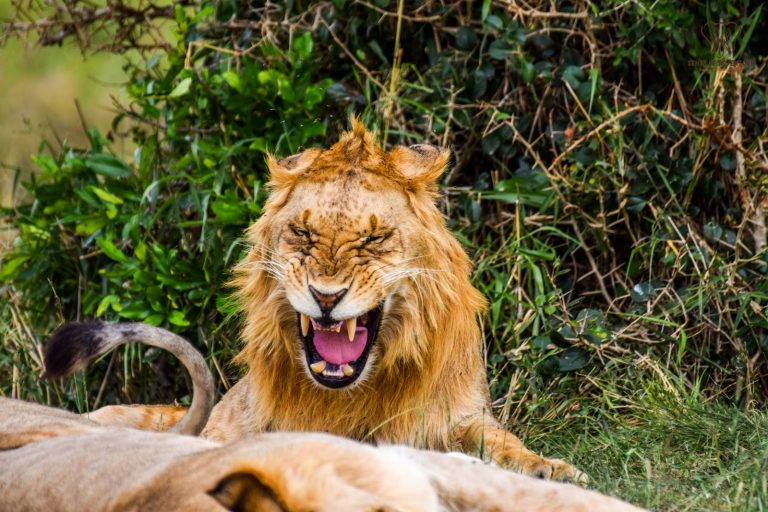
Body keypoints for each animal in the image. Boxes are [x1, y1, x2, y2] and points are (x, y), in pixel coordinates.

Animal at [49, 120, 582, 481]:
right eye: (303, 235)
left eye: (373, 240)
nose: (327, 297)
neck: (351, 395)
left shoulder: (461, 417)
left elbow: (504, 443)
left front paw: (549, 469)